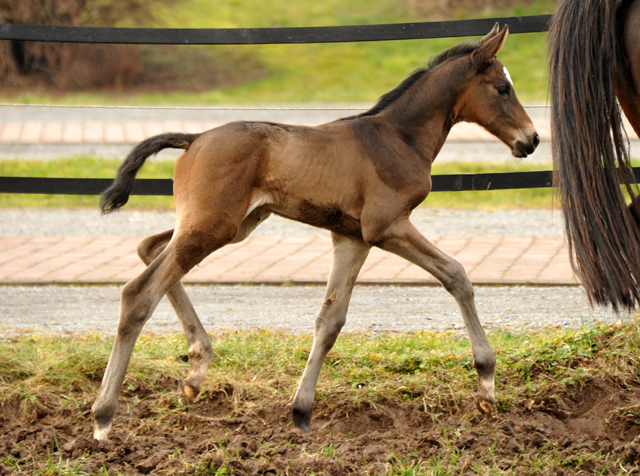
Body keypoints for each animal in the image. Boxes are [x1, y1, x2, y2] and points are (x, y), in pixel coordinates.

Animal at [91, 24, 540, 440]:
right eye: (502, 88)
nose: (532, 139)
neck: (398, 138)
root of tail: (194, 138)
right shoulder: (387, 227)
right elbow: (456, 275)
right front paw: (486, 384)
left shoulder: (352, 238)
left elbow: (330, 320)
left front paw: (301, 412)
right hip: (212, 226)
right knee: (138, 292)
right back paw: (103, 416)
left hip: (228, 225)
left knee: (149, 247)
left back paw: (196, 370)